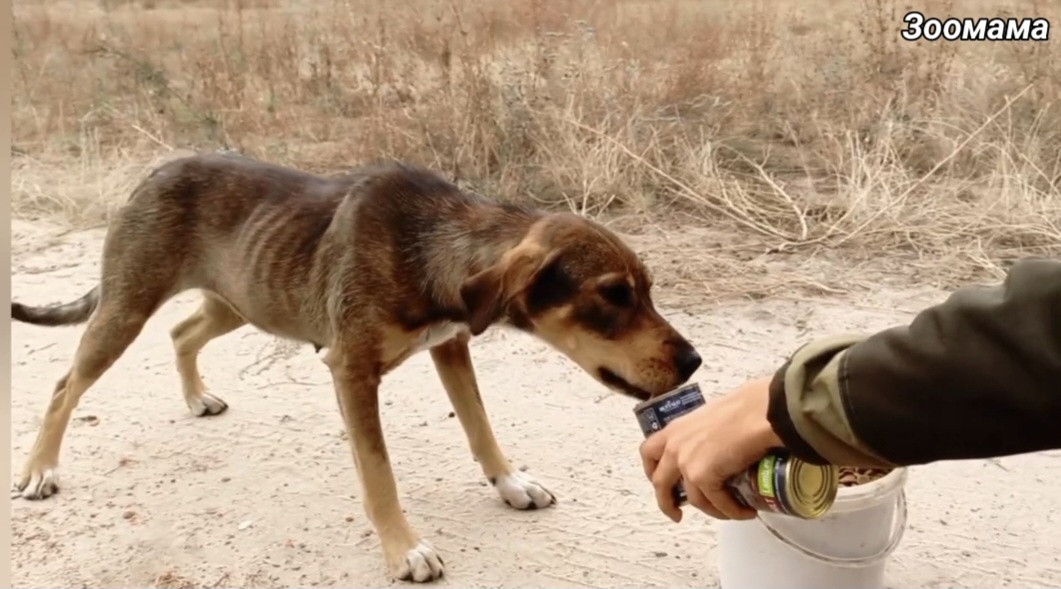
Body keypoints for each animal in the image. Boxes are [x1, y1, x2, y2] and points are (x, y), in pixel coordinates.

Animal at [12, 151, 704, 581]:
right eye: (612, 295)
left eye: (647, 290)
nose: (695, 361)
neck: (434, 245)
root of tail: (153, 172)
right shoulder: (351, 369)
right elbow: (380, 475)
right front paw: (404, 548)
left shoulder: (452, 345)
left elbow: (481, 428)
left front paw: (510, 483)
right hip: (127, 307)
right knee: (65, 384)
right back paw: (40, 470)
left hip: (243, 300)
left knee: (183, 332)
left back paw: (195, 396)